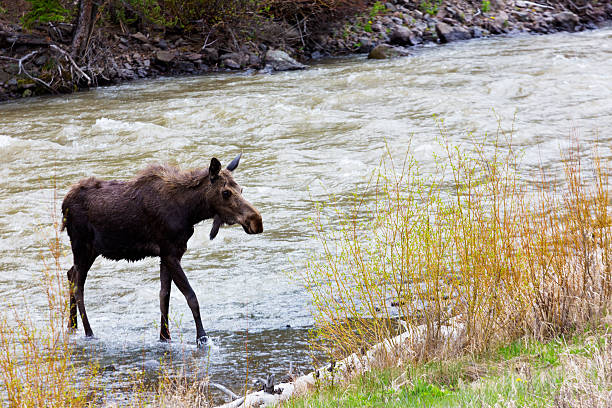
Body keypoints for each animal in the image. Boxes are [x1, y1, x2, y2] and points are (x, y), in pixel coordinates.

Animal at [61, 155, 262, 346]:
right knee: (78, 286)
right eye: (226, 192)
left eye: (241, 189)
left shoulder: (169, 254)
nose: (256, 221)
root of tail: (63, 206)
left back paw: (72, 326)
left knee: (71, 274)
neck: (190, 211)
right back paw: (89, 332)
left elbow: (164, 296)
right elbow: (191, 297)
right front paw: (202, 338)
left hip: (90, 250)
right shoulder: (170, 253)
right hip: (82, 245)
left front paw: (164, 336)